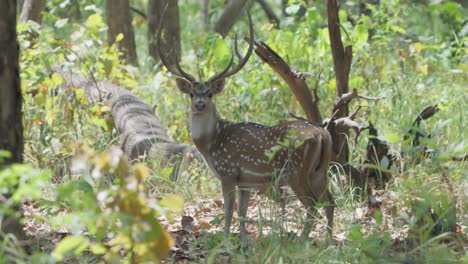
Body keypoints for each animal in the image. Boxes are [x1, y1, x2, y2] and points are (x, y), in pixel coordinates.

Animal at [159, 13, 334, 242]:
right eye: (191, 93)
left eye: (210, 93)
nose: (199, 104)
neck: (210, 144)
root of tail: (323, 134)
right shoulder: (245, 181)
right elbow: (241, 211)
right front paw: (243, 241)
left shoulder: (228, 172)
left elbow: (228, 211)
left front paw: (225, 241)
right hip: (320, 171)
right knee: (330, 201)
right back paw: (329, 240)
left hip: (296, 171)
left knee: (312, 204)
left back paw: (303, 239)